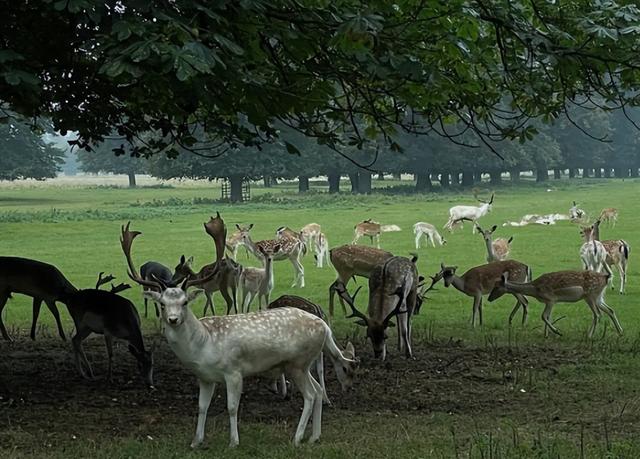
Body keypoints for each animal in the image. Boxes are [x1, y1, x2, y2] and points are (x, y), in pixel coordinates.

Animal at [120, 221, 358, 448]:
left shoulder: (233, 371)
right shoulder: (204, 377)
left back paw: (297, 438)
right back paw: (314, 437)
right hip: (302, 364)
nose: (173, 319)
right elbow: (201, 407)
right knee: (317, 391)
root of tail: (325, 326)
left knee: (310, 395)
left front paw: (233, 441)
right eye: (162, 304)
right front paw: (196, 441)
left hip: (298, 362)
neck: (204, 344)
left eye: (185, 302)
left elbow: (232, 407)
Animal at [488, 270, 624, 338]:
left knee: (598, 314)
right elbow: (548, 317)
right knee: (610, 310)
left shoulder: (551, 299)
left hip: (591, 295)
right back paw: (620, 332)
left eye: (496, 286)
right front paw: (546, 335)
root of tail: (606, 277)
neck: (535, 290)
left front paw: (557, 332)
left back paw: (589, 335)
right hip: (598, 297)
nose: (489, 298)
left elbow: (543, 316)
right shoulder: (550, 302)